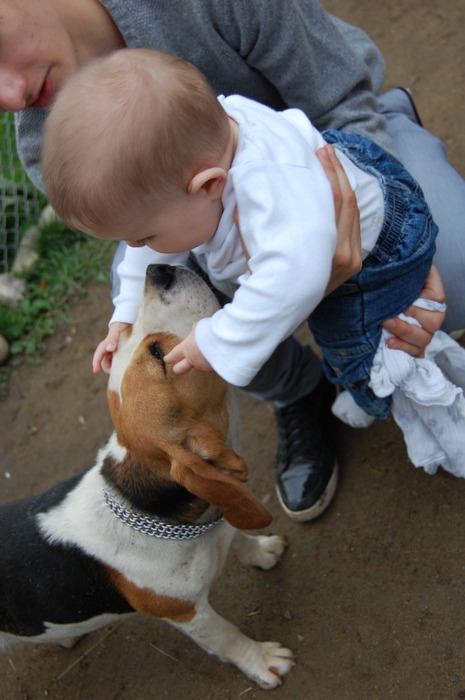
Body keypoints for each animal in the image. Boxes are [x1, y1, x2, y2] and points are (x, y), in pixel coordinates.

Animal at [0, 266, 294, 692]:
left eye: (125, 336)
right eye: (158, 353)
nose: (159, 270)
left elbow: (239, 537)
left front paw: (262, 550)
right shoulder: (188, 613)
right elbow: (226, 637)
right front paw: (262, 660)